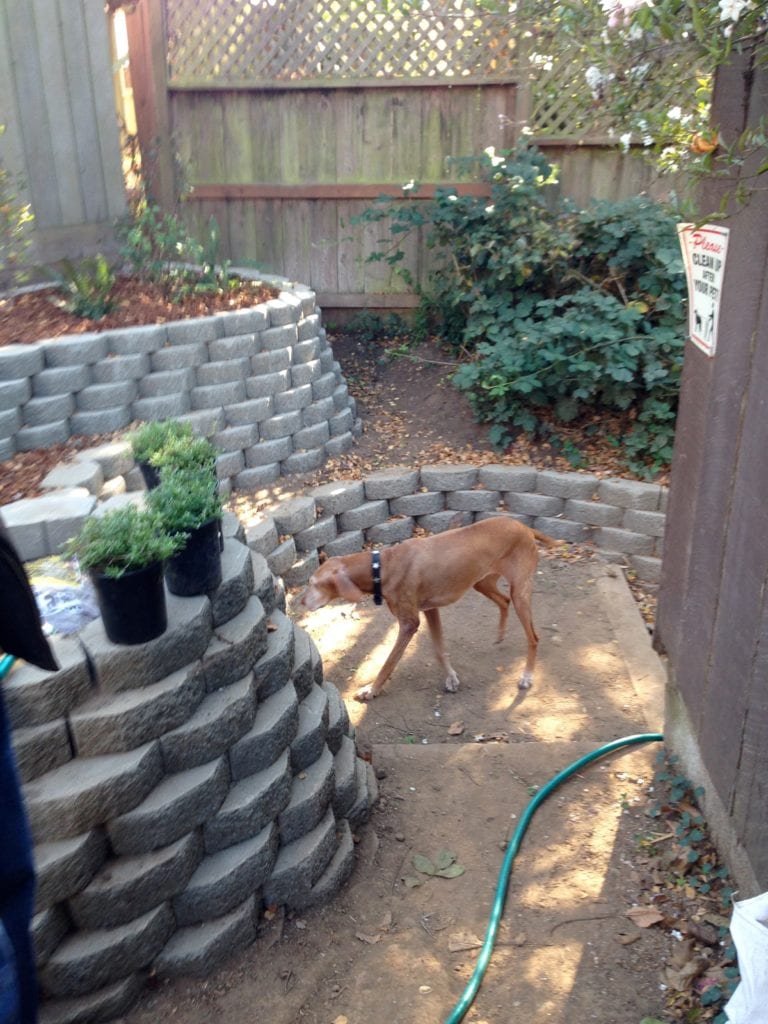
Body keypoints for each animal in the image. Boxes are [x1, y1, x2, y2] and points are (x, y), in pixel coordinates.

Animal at [296, 516, 557, 700]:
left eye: (313, 583)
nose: (301, 602)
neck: (381, 567)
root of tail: (525, 527)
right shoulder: (431, 610)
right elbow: (439, 649)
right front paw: (451, 678)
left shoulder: (409, 624)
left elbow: (388, 663)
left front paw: (372, 690)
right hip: (482, 582)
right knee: (504, 601)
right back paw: (500, 634)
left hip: (520, 592)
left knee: (533, 637)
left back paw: (526, 677)